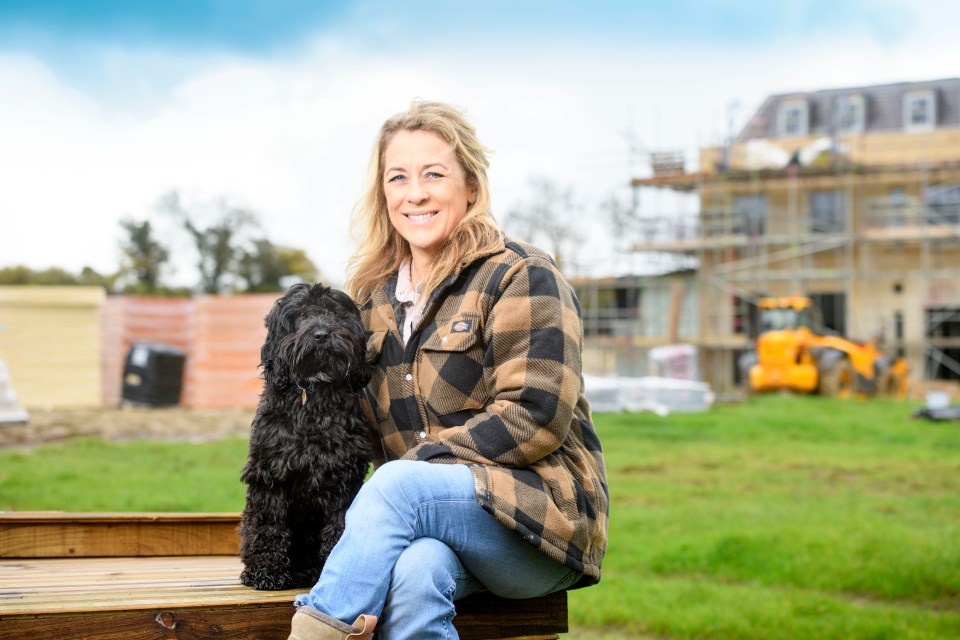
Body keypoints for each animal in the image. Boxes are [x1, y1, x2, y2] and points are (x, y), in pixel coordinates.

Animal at [239, 282, 372, 592]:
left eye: (334, 313)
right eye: (300, 314)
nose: (322, 334)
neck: (313, 396)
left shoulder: (342, 477)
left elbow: (339, 526)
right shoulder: (269, 475)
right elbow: (268, 524)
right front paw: (266, 572)